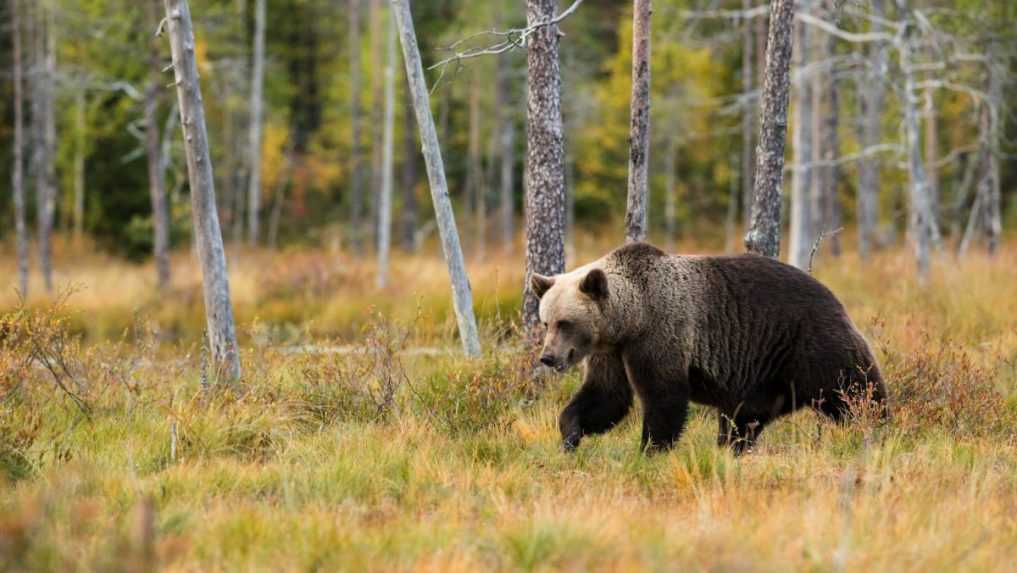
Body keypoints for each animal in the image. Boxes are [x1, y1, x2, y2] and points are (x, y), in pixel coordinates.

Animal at [532, 242, 882, 453]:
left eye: (565, 323)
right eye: (546, 322)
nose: (548, 357)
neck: (631, 318)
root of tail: (833, 295)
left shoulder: (662, 333)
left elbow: (664, 398)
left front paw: (650, 450)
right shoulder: (612, 352)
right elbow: (606, 396)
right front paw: (570, 435)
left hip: (809, 343)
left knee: (853, 389)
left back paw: (877, 426)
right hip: (762, 376)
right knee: (743, 419)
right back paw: (732, 449)